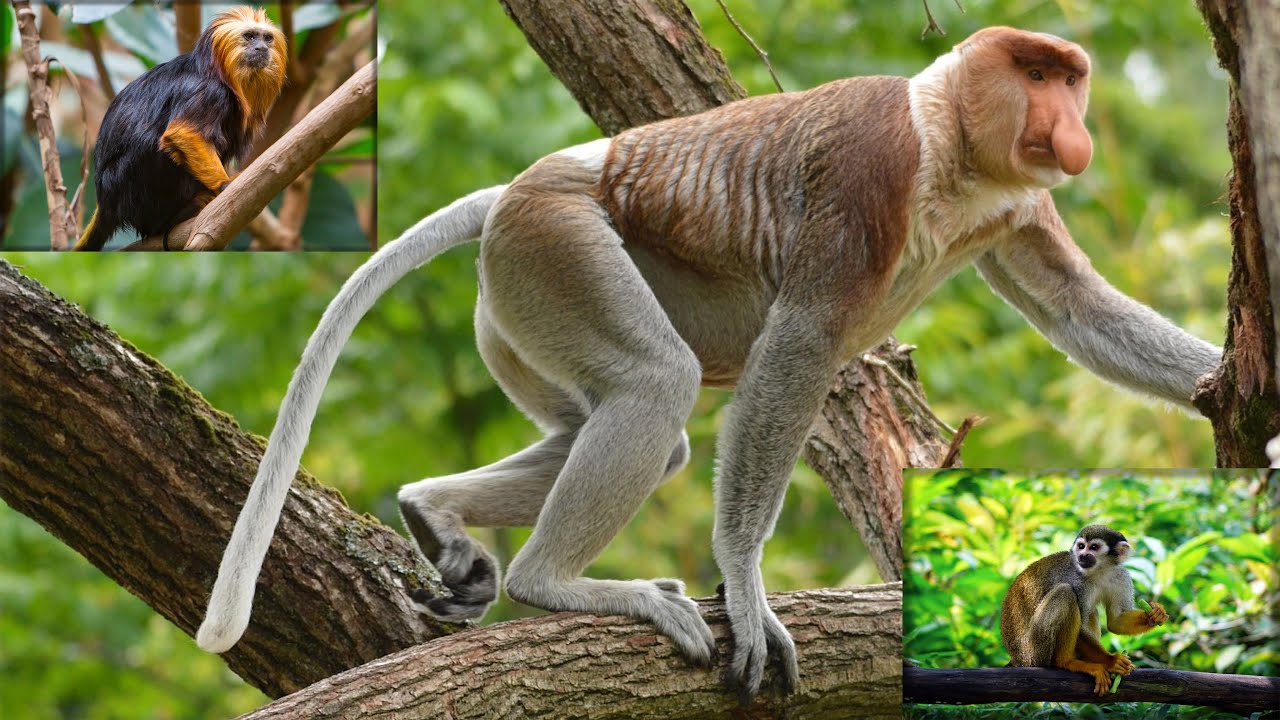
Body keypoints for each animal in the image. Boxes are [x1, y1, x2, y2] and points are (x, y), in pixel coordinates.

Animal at [73, 6, 285, 251]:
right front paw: (225, 185)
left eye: (267, 38)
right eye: (250, 37)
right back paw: (171, 217)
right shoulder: (208, 92)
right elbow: (184, 134)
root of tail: (105, 201)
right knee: (150, 141)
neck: (221, 76)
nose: (262, 48)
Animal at [1001, 525, 1169, 695]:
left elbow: (1116, 621)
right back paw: (1066, 662)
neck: (1100, 571)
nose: (1082, 555)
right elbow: (1081, 628)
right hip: (1033, 652)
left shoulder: (1121, 577)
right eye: (1081, 546)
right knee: (1065, 592)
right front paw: (1111, 661)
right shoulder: (1077, 580)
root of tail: (1017, 659)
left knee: (1091, 610)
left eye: (1094, 547)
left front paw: (1155, 614)